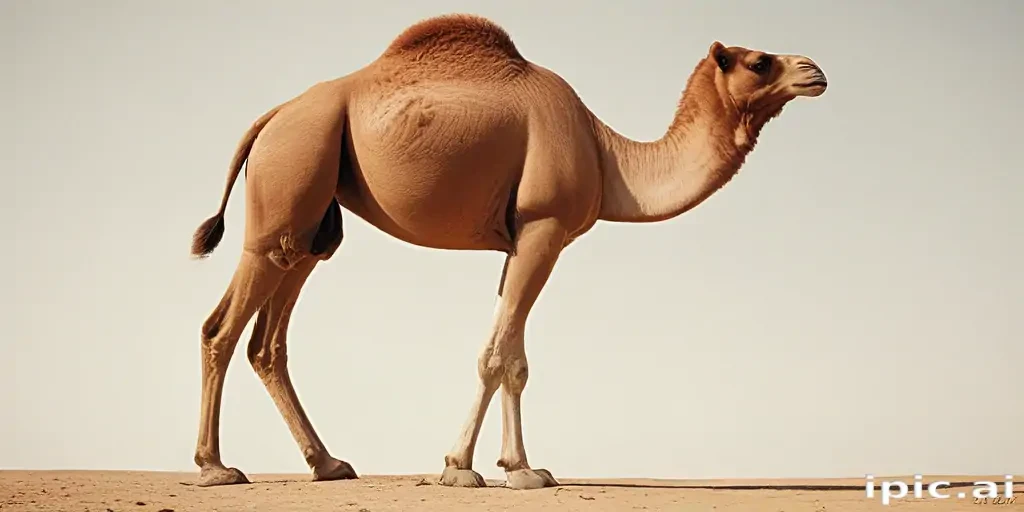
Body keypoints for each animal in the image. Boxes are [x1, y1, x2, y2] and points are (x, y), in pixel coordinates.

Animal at [187, 13, 827, 490]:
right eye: (759, 60)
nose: (815, 70)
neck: (607, 156)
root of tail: (272, 117)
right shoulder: (545, 225)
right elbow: (500, 356)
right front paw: (469, 470)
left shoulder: (521, 238)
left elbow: (512, 355)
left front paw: (514, 467)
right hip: (288, 180)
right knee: (220, 328)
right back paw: (216, 468)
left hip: (312, 224)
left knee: (268, 342)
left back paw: (329, 464)